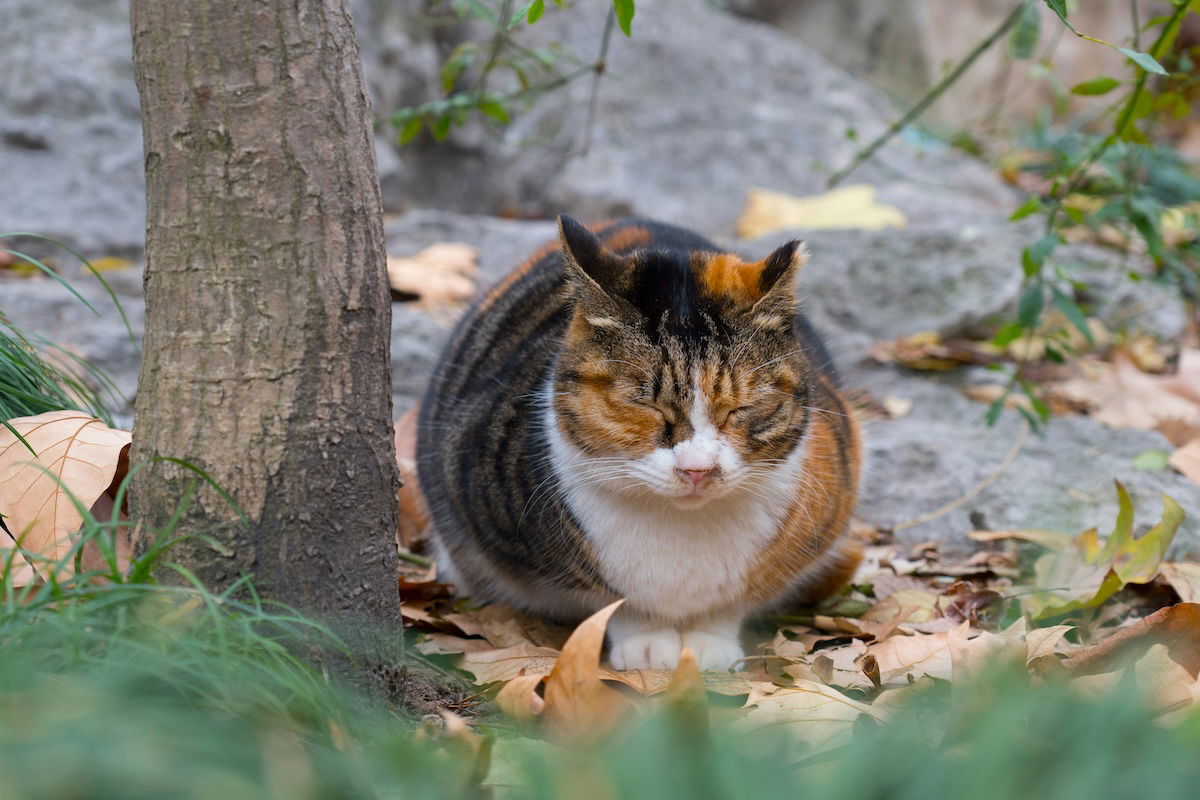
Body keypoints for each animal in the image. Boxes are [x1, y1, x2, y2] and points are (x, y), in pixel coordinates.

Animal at [417, 215, 859, 671]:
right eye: (647, 405)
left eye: (739, 409)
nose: (697, 470)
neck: (683, 530)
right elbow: (616, 602)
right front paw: (646, 644)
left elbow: (732, 602)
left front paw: (710, 643)